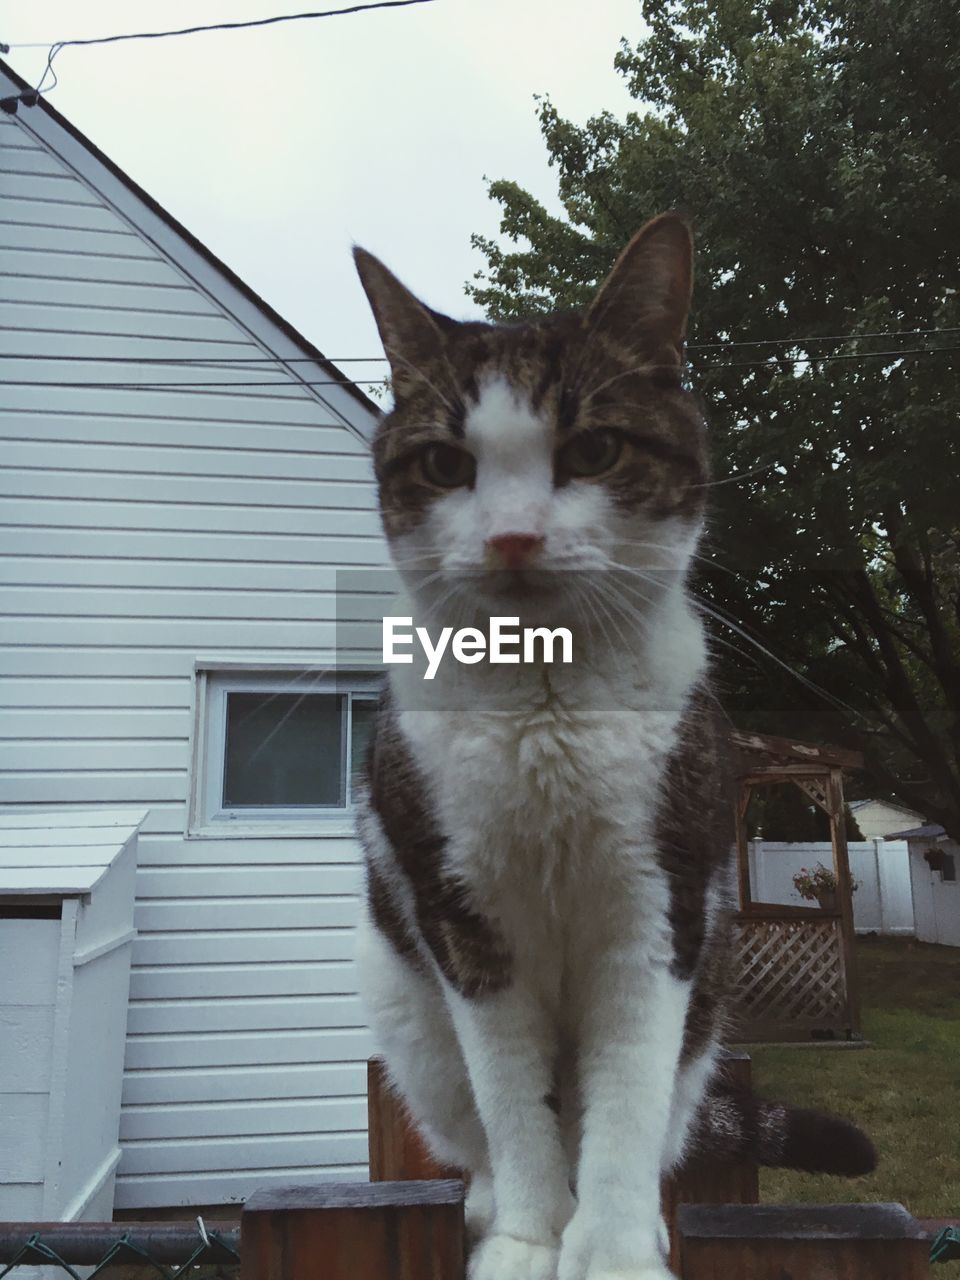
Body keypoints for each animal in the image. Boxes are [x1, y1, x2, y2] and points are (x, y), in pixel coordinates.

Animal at [350, 215, 875, 1280]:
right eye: (447, 467)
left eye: (590, 450)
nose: (513, 537)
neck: (545, 707)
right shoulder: (465, 918)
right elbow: (514, 1103)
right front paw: (527, 1238)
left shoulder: (660, 903)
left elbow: (626, 1094)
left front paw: (616, 1245)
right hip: (401, 1000)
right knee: (470, 1123)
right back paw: (489, 1202)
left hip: (711, 998)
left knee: (666, 1105)